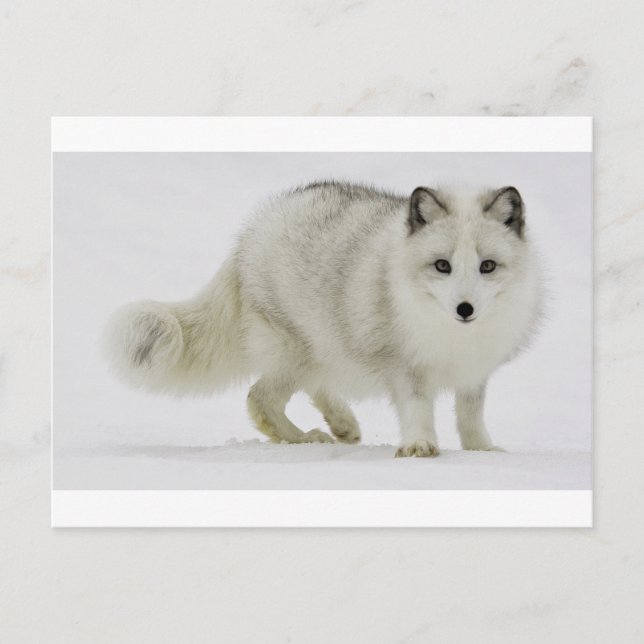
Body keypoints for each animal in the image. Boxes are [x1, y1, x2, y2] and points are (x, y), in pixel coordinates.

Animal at [104, 181, 542, 457]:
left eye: (487, 266)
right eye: (442, 265)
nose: (465, 309)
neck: (452, 335)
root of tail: (251, 231)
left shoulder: (474, 371)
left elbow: (471, 415)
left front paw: (482, 450)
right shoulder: (406, 366)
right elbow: (418, 409)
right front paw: (419, 447)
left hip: (322, 348)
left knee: (312, 387)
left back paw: (342, 424)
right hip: (296, 351)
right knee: (258, 399)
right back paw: (305, 439)